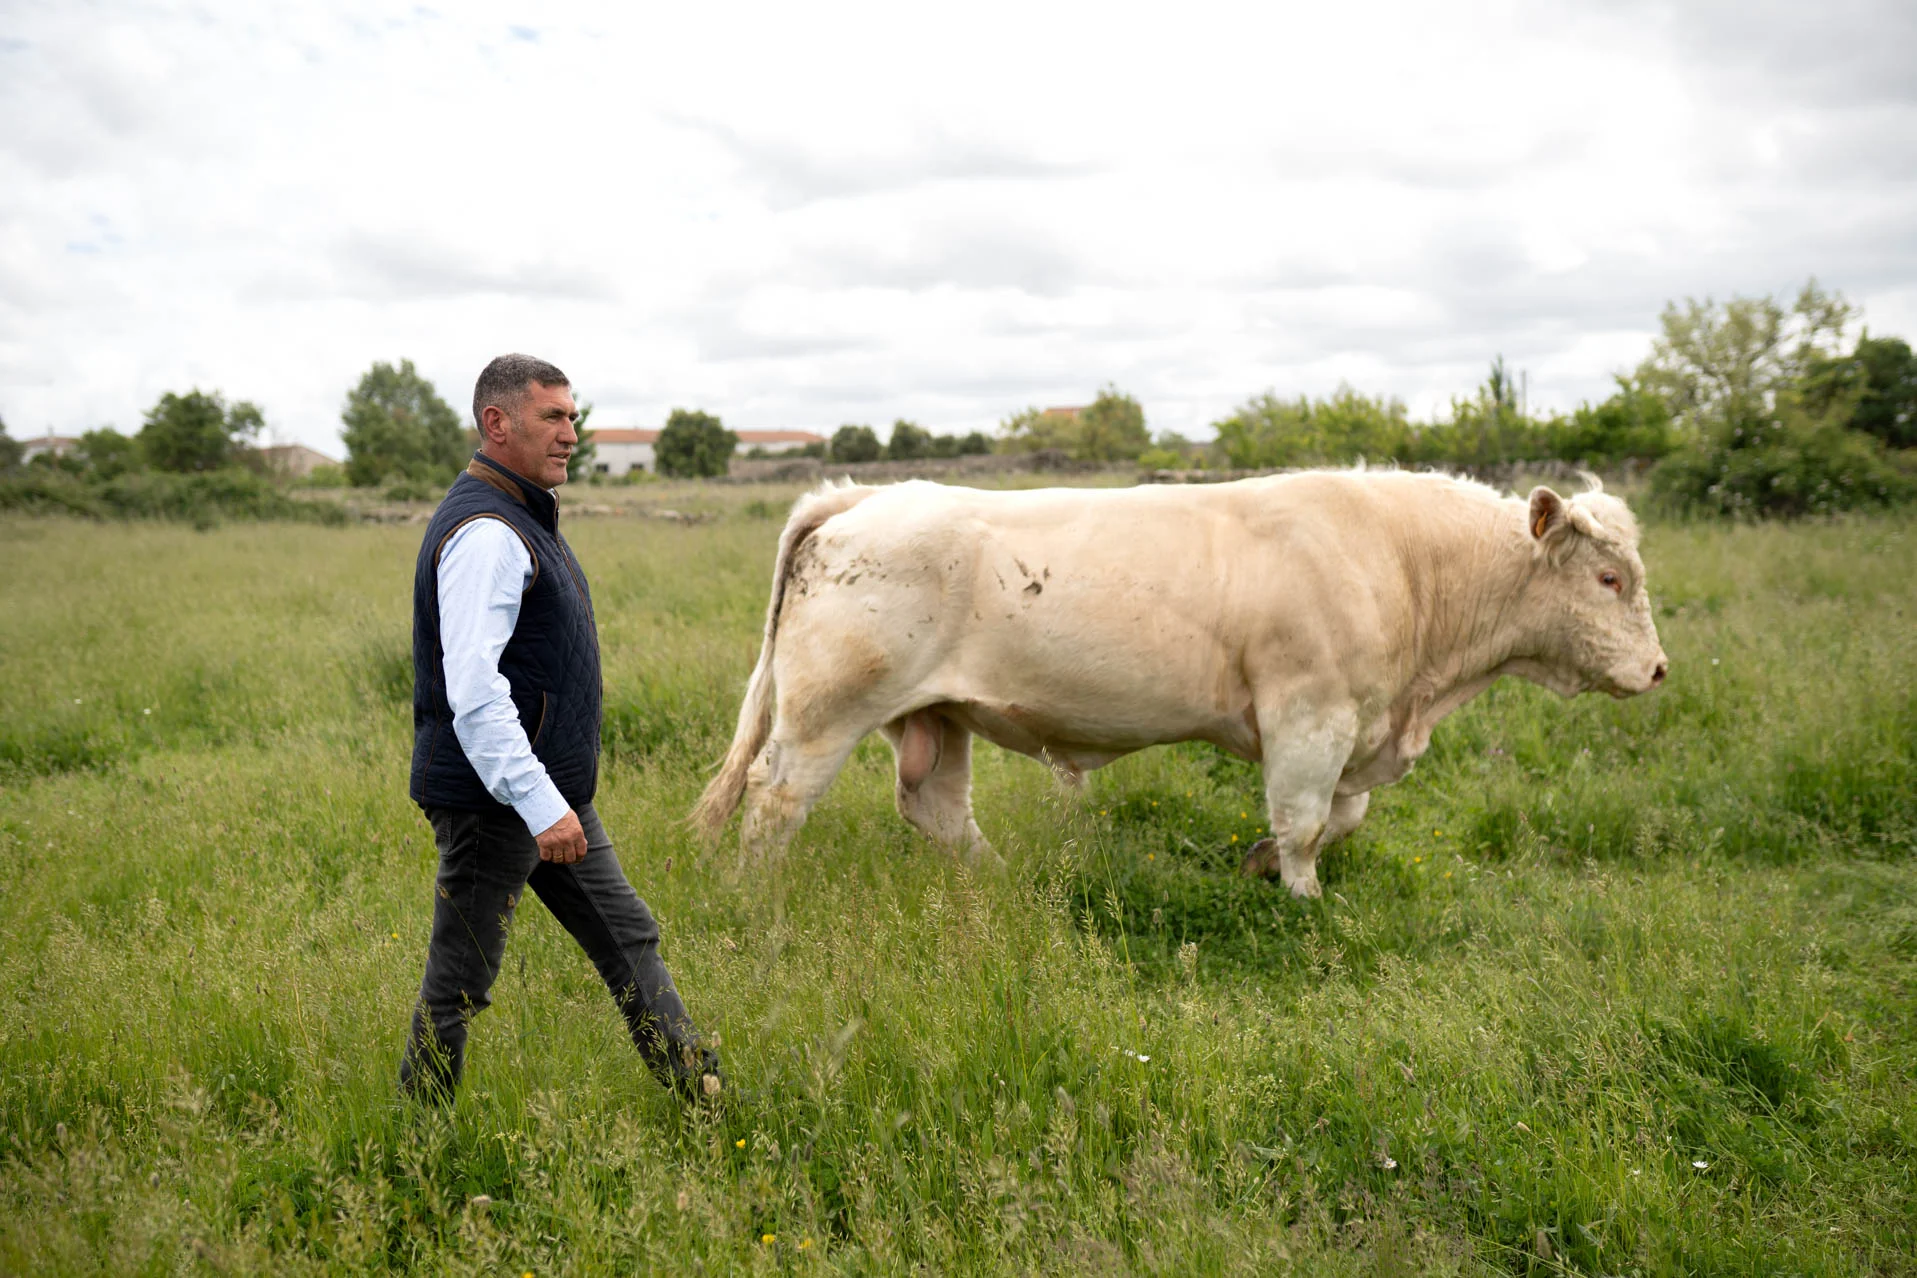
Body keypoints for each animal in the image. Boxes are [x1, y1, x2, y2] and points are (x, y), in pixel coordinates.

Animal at [693, 469, 1663, 900]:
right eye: (1609, 578)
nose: (1657, 670)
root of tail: (863, 494)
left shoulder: (1351, 729)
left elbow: (1340, 817)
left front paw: (1259, 864)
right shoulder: (1309, 715)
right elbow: (1307, 823)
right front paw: (1302, 904)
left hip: (936, 716)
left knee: (936, 808)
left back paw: (1003, 883)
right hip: (825, 713)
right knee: (775, 799)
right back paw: (756, 897)